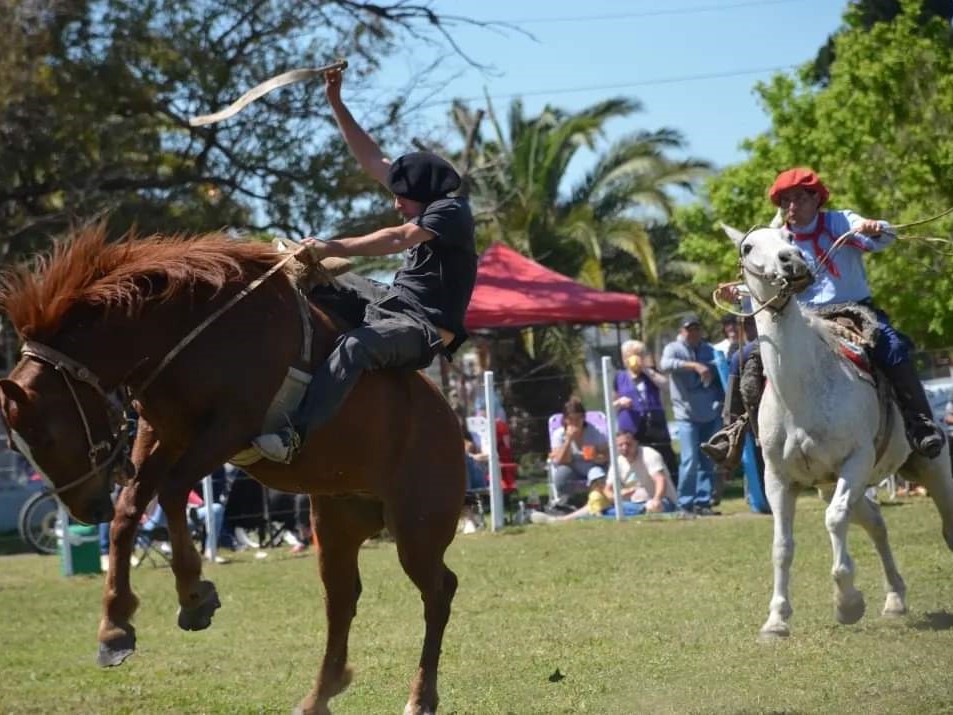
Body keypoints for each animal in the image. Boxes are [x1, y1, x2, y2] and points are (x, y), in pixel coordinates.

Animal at [0, 228, 464, 715]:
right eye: (15, 444)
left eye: (46, 437)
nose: (85, 509)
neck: (186, 327)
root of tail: (448, 420)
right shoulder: (163, 430)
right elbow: (129, 511)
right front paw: (115, 627)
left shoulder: (229, 428)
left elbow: (171, 492)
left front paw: (193, 595)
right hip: (337, 521)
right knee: (342, 599)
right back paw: (320, 692)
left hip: (416, 529)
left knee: (439, 591)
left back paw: (420, 696)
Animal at [720, 224, 952, 636]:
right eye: (748, 247)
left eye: (787, 238)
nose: (792, 261)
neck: (803, 392)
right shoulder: (779, 479)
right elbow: (782, 545)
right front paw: (777, 619)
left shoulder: (855, 461)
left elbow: (833, 520)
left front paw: (847, 602)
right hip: (837, 486)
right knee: (876, 524)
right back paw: (895, 598)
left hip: (932, 467)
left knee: (946, 524)